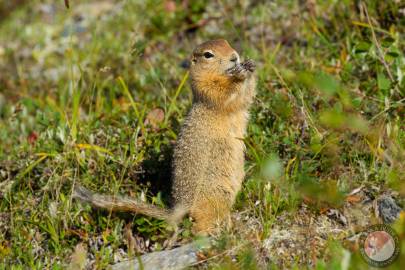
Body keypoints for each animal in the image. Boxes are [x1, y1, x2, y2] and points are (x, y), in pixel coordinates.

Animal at [73, 39, 256, 234]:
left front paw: (250, 65)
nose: (234, 57)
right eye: (208, 55)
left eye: (227, 42)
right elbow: (224, 93)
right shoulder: (206, 88)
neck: (220, 75)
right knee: (200, 224)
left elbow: (246, 97)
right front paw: (240, 75)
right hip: (216, 193)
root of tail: (181, 206)